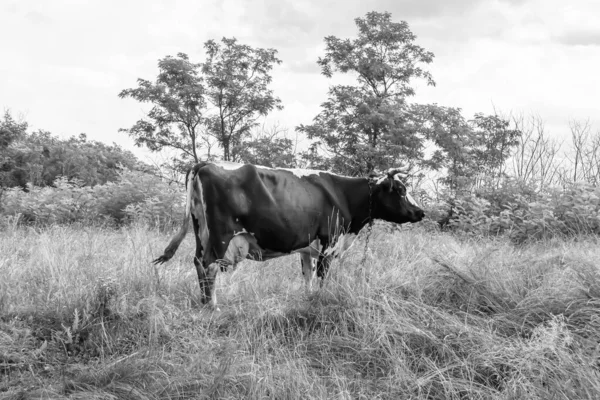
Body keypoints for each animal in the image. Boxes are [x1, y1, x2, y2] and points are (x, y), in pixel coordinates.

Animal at [155, 162, 426, 310]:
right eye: (400, 190)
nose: (421, 212)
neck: (345, 194)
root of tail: (204, 163)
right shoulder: (329, 246)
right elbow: (322, 279)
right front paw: (322, 301)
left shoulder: (308, 249)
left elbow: (307, 277)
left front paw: (308, 300)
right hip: (221, 236)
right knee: (209, 267)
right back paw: (213, 306)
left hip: (202, 233)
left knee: (198, 263)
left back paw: (203, 303)